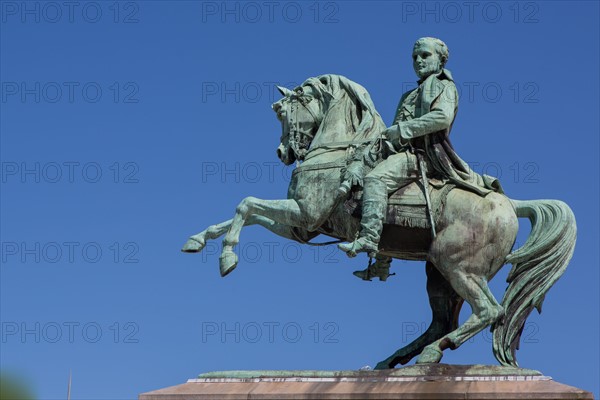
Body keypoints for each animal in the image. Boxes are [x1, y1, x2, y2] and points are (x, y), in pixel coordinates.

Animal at [183, 75, 576, 368]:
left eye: (283, 111)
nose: (284, 152)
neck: (337, 152)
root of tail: (509, 203)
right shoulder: (302, 227)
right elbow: (242, 212)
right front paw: (198, 240)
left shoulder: (304, 213)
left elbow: (245, 205)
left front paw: (227, 258)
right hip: (439, 274)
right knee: (442, 322)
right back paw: (396, 360)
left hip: (459, 267)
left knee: (489, 311)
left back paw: (428, 355)